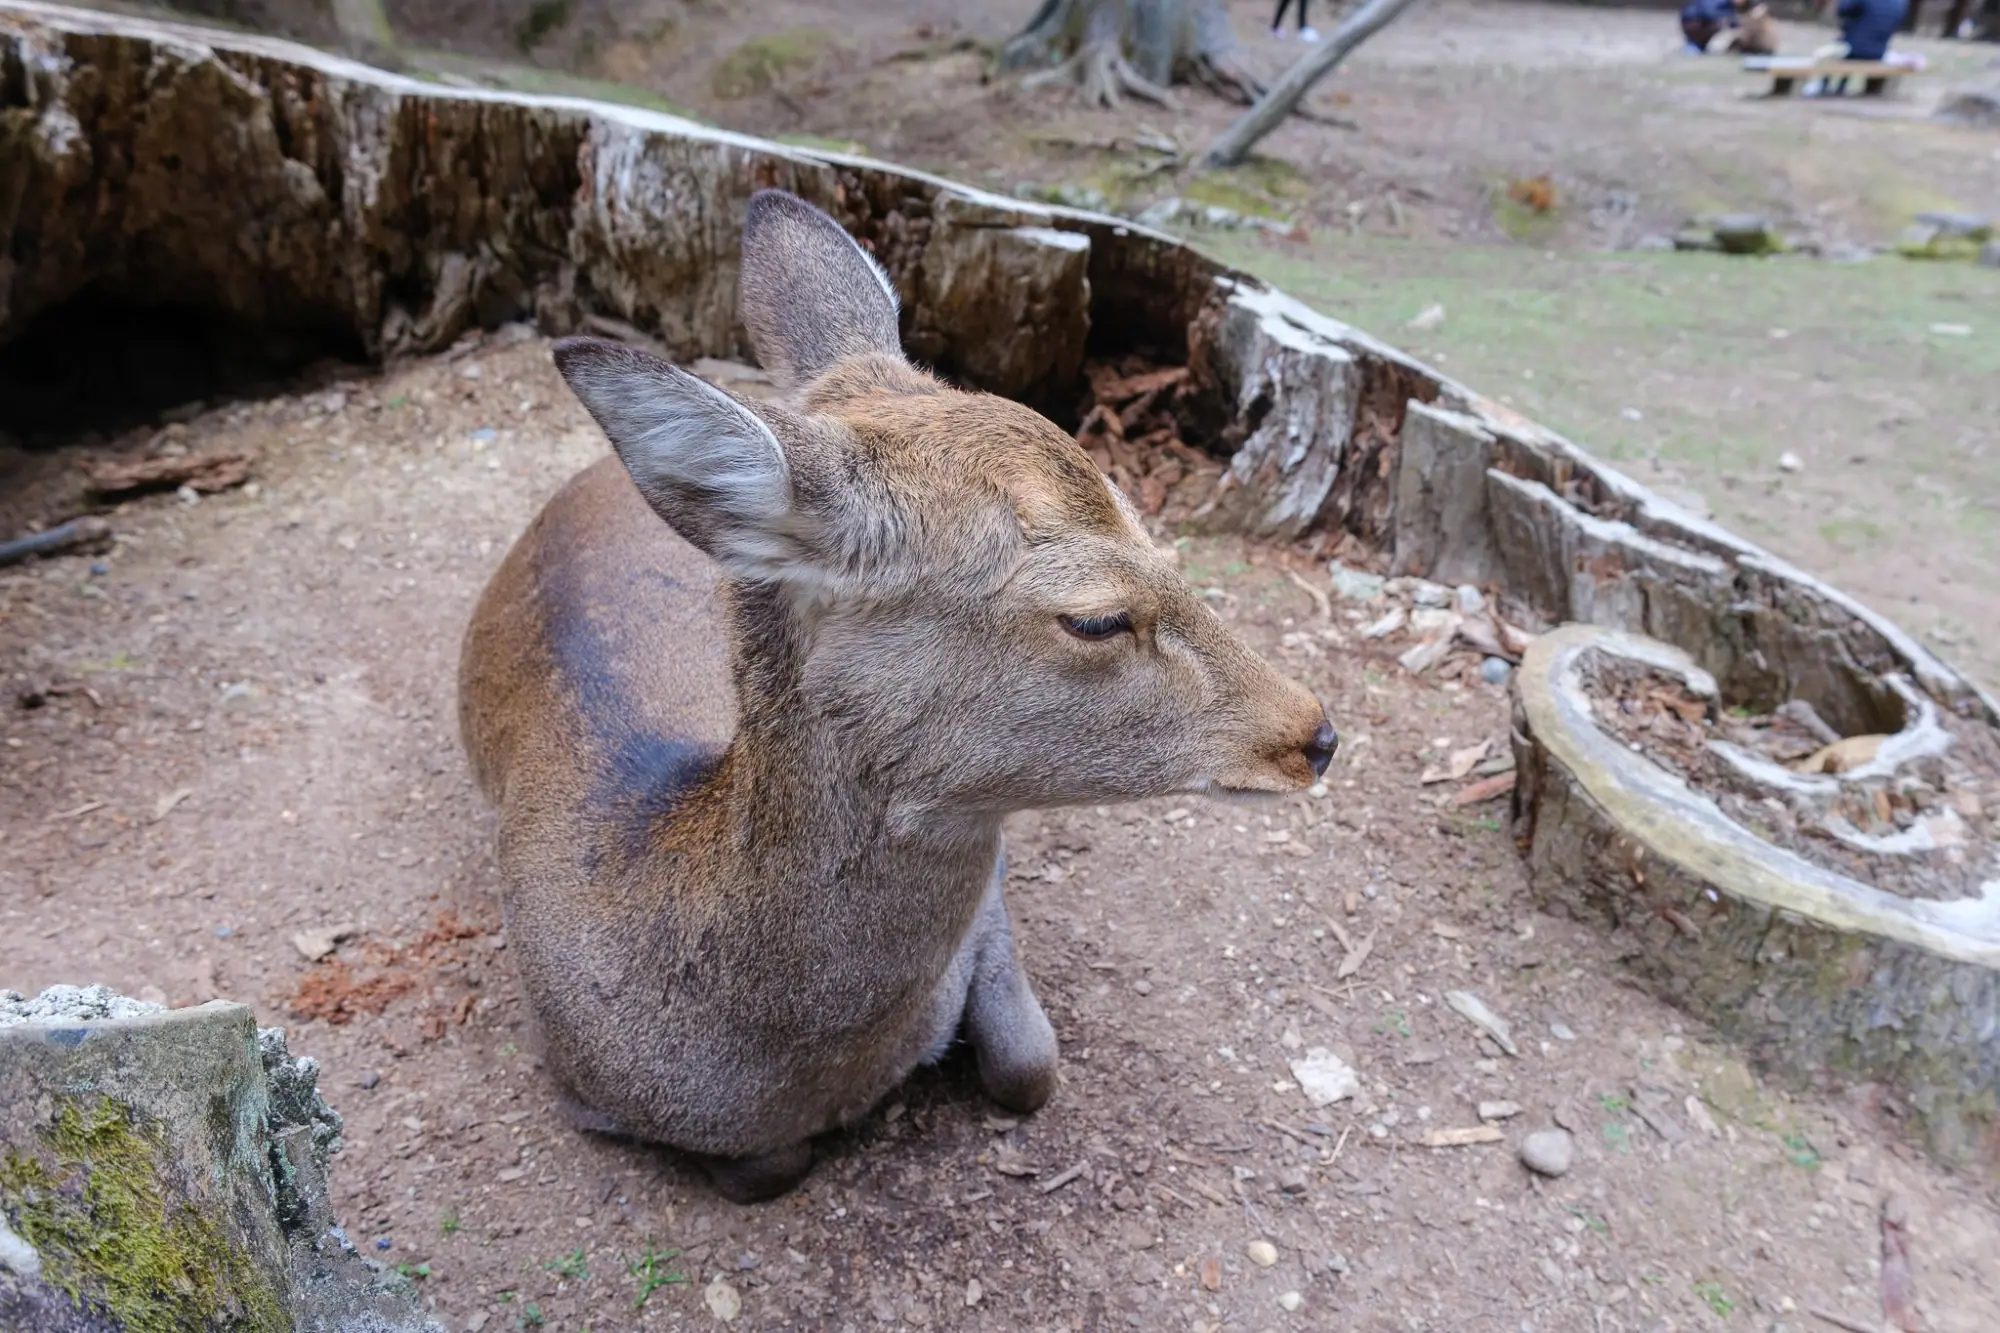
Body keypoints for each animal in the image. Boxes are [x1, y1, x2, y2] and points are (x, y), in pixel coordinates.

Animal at [457, 189, 1337, 1202]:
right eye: (1095, 617)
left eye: (1155, 528)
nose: (1315, 733)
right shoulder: (571, 1076)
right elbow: (766, 1167)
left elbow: (1031, 1063)